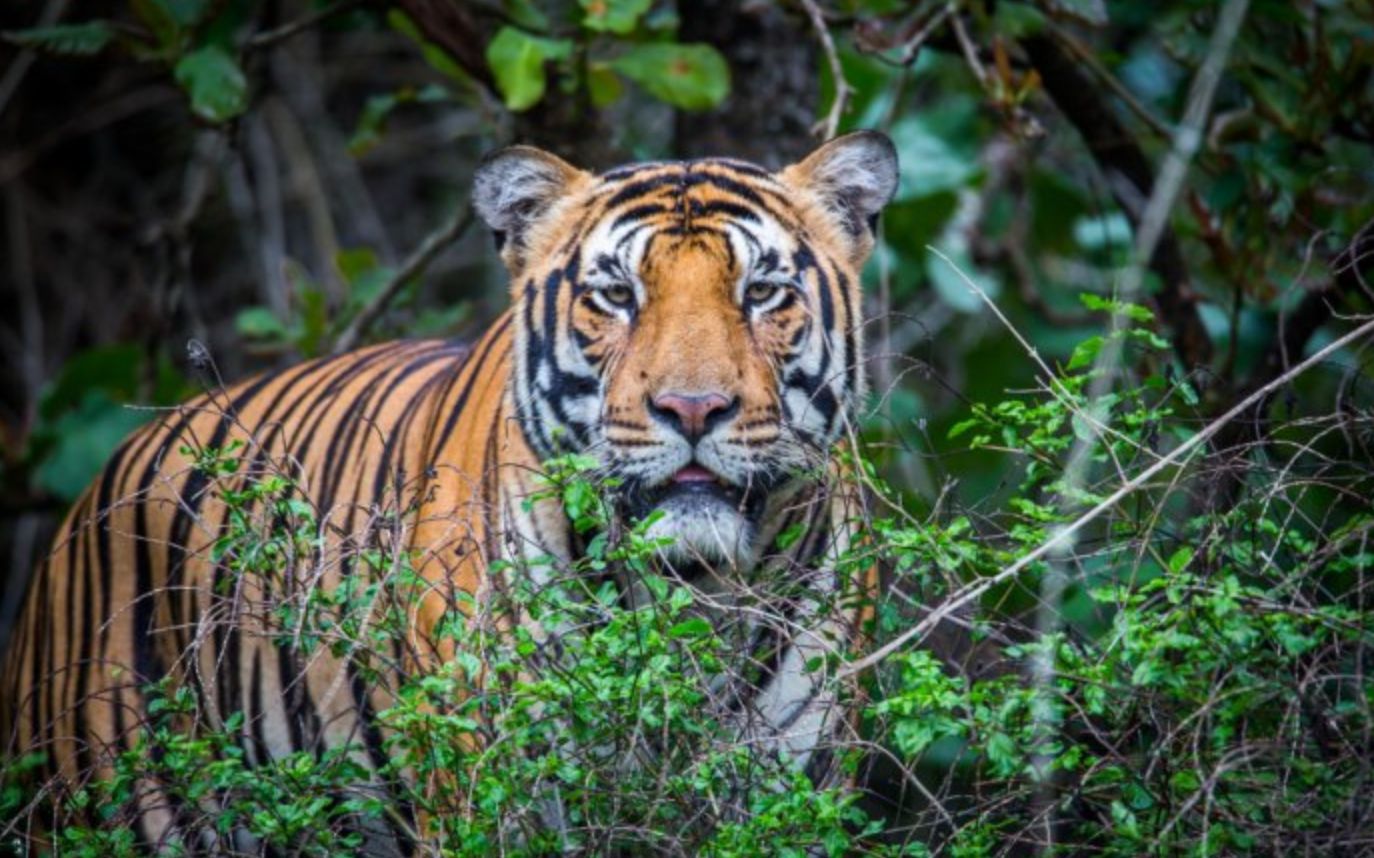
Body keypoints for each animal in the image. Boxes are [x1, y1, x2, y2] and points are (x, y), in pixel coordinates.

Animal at [1, 130, 899, 851]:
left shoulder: (796, 788)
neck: (695, 598)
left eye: (762, 293)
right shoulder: (505, 800)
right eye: (616, 296)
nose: (692, 408)